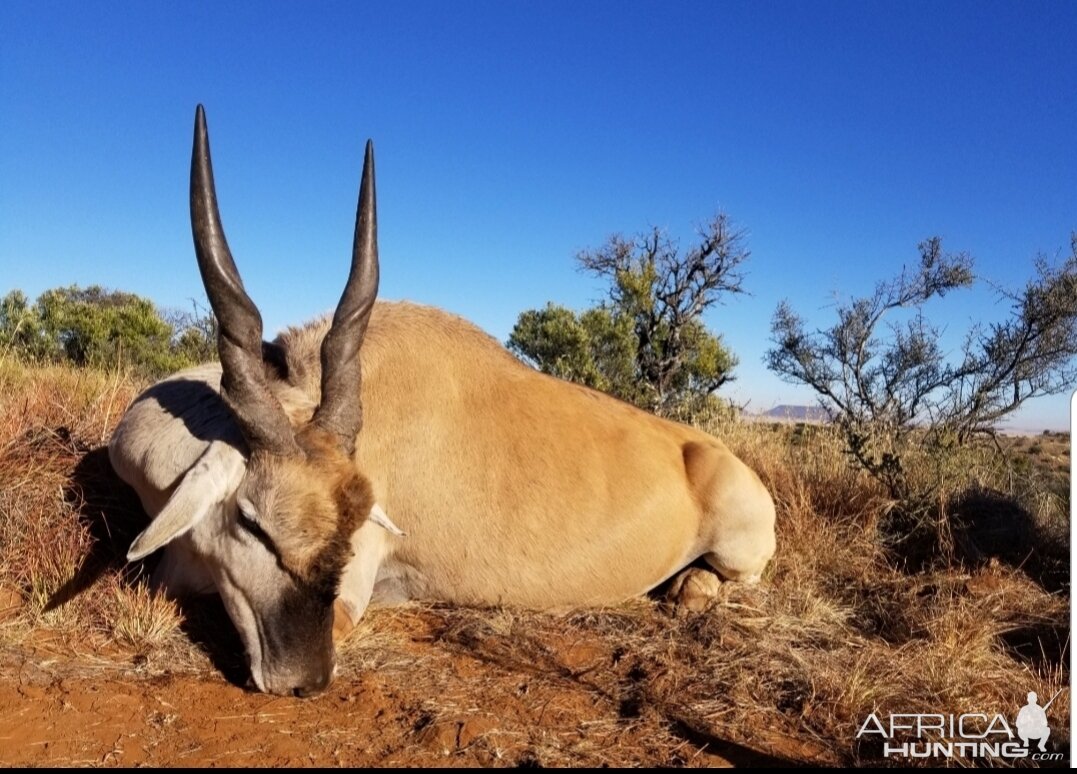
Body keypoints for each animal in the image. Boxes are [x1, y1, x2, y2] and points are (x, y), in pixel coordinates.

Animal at [109, 106, 775, 697]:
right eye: (250, 520)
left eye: (350, 527)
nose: (303, 680)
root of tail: (716, 456)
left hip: (740, 557)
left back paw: (687, 591)